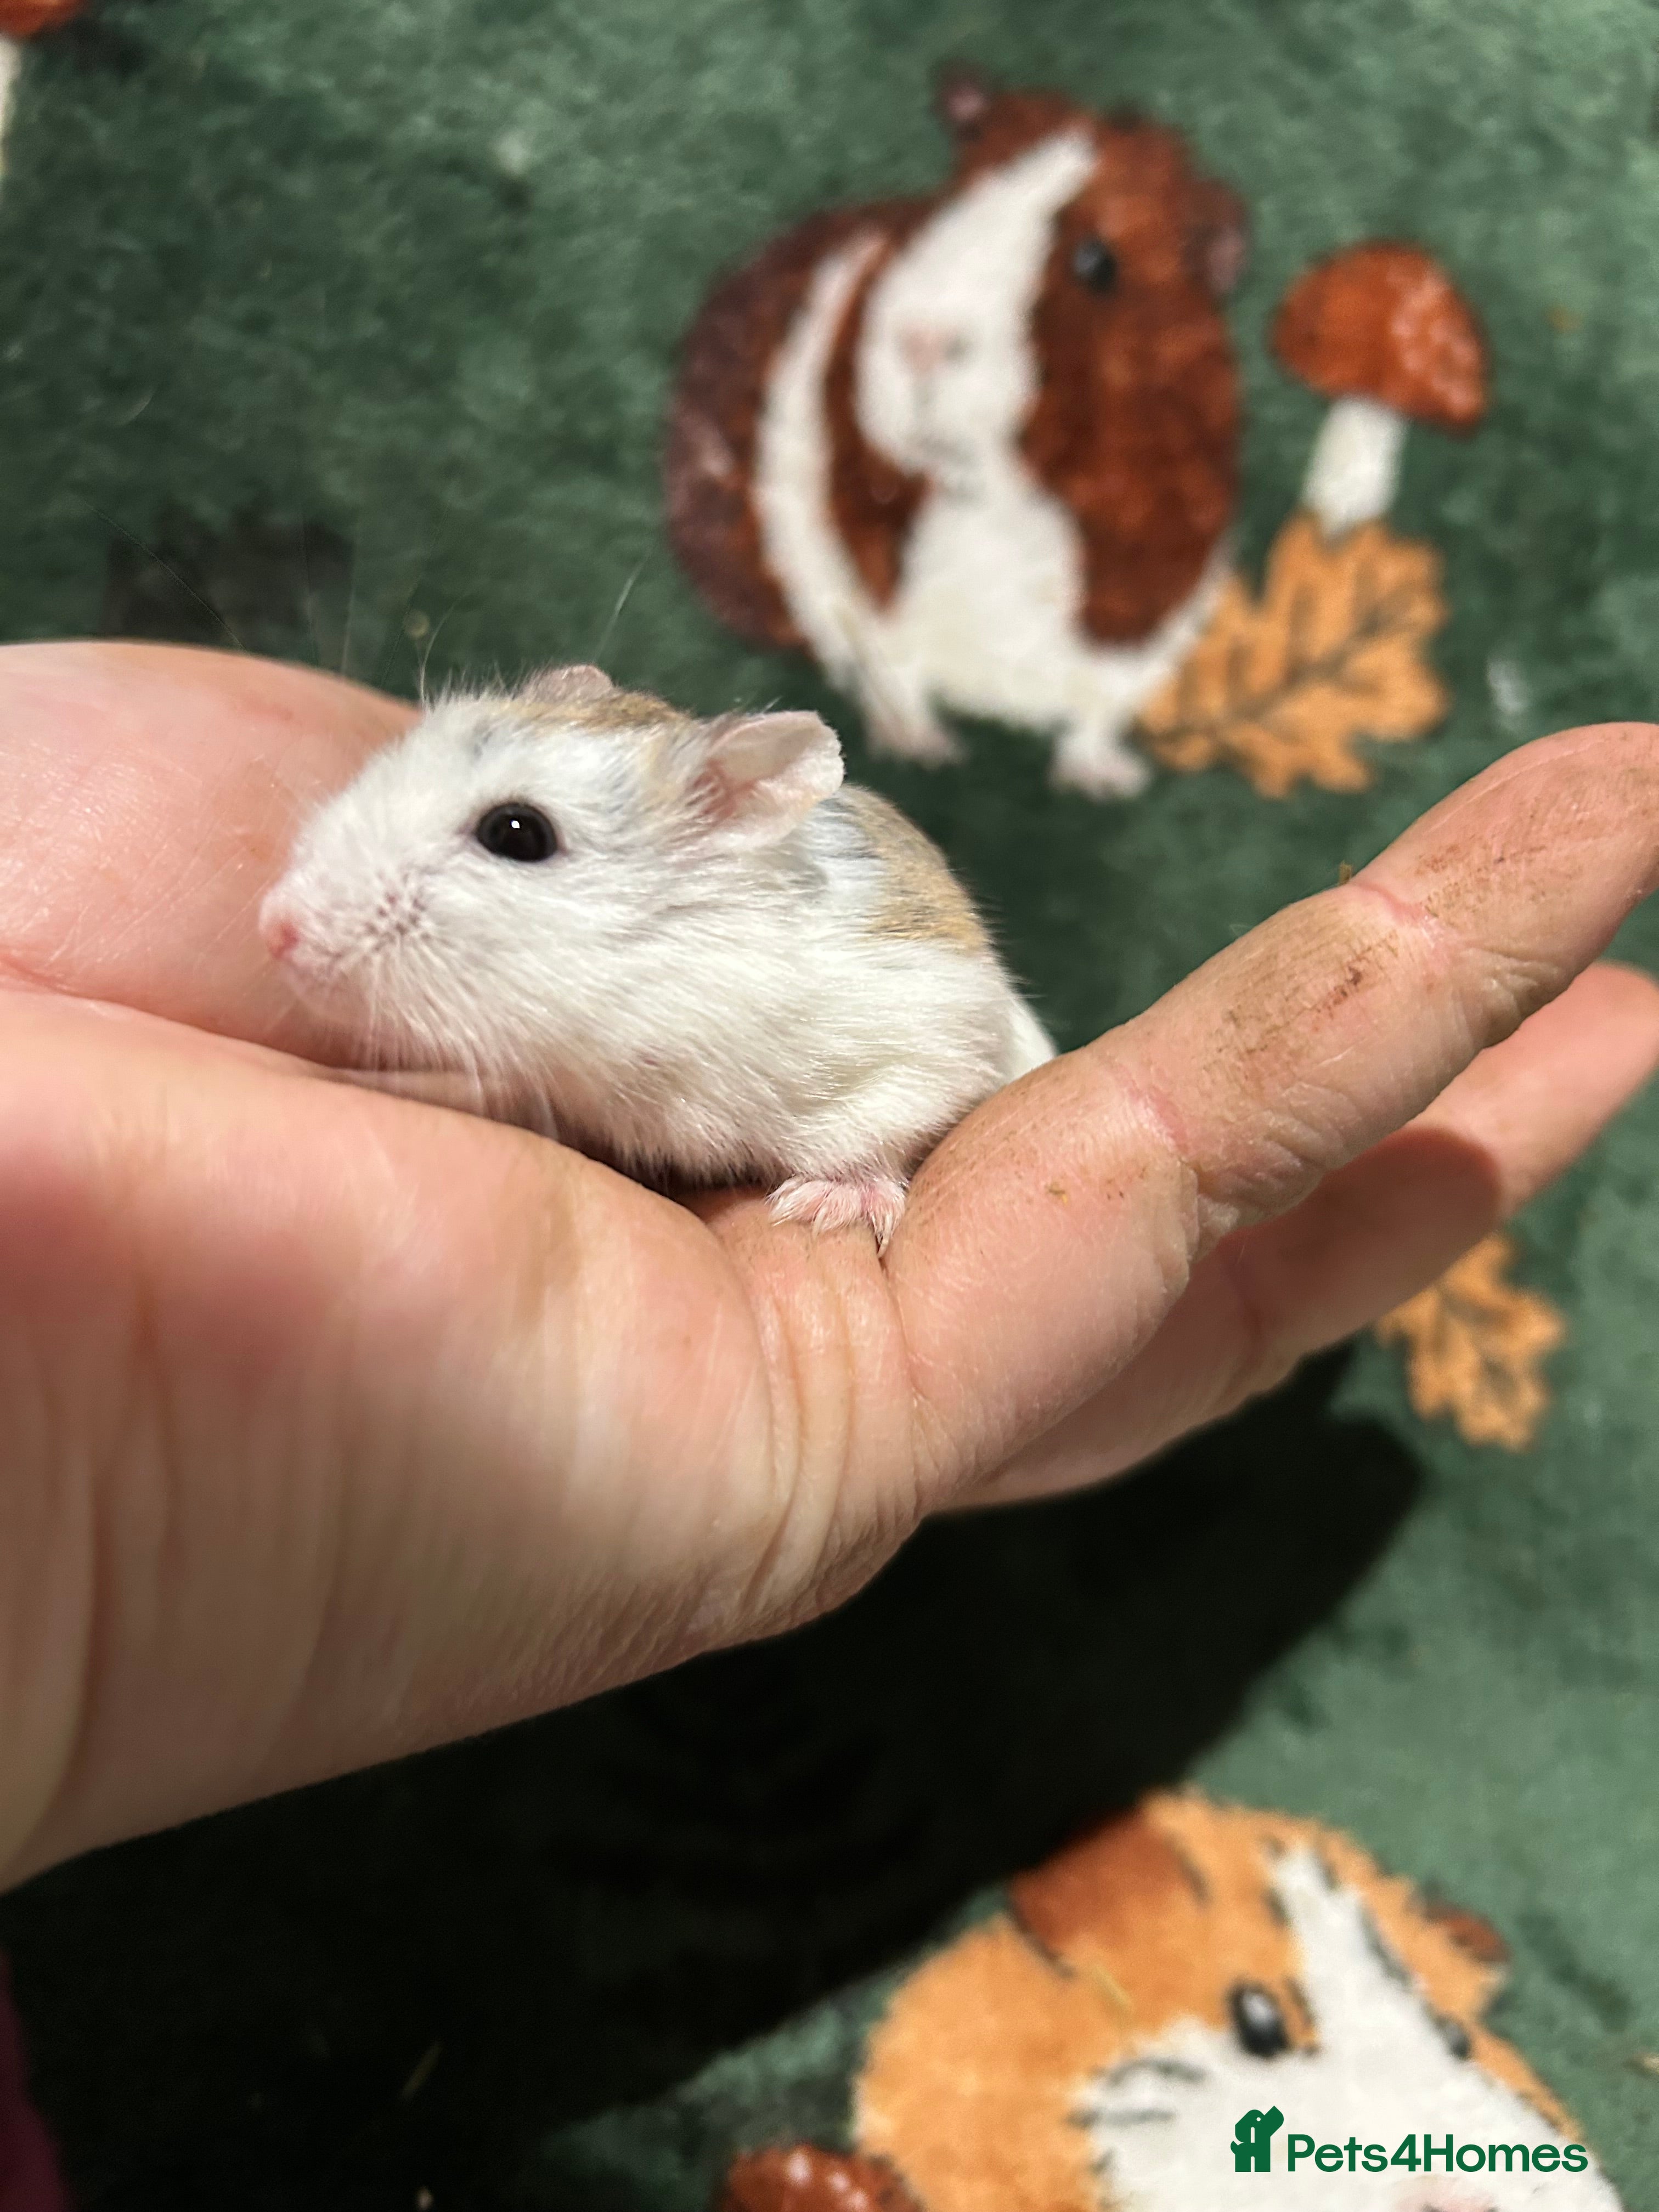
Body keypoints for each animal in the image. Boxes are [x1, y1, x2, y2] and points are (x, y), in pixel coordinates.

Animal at [260, 664, 1053, 1246]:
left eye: (517, 833)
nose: (276, 929)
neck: (643, 984)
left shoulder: (924, 1044)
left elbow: (885, 1128)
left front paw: (824, 1208)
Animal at [665, 66, 1247, 798]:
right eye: (952, 206)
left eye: (1098, 263)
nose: (919, 339)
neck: (992, 497)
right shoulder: (868, 595)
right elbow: (897, 677)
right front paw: (924, 754)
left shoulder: (1147, 620)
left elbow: (1095, 715)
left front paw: (1109, 782)